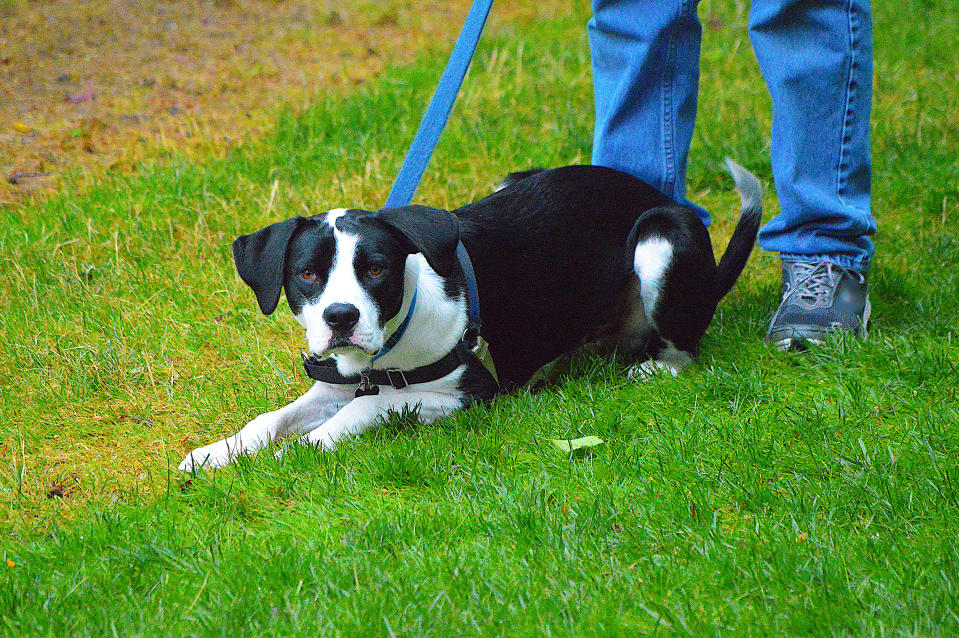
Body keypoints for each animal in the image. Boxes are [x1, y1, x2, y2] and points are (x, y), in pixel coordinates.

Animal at [180, 160, 760, 470]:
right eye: (307, 273)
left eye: (375, 268)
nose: (341, 317)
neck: (393, 341)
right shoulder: (335, 380)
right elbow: (271, 418)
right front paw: (217, 452)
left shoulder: (470, 391)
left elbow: (365, 410)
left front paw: (297, 452)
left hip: (660, 240)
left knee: (684, 351)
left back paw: (651, 366)